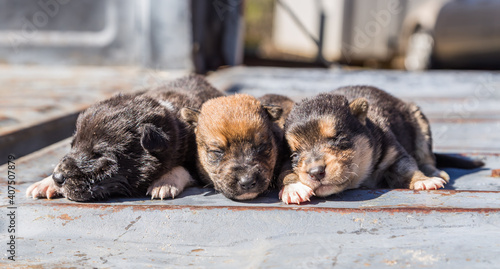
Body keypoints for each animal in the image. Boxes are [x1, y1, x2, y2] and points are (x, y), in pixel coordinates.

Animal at [26, 74, 223, 200]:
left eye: (98, 155)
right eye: (73, 145)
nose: (58, 178)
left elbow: (183, 168)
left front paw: (164, 183)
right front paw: (46, 183)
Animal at [280, 86, 482, 203]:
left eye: (338, 138)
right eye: (294, 155)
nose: (315, 172)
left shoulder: (395, 153)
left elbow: (407, 169)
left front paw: (423, 181)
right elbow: (286, 172)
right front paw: (293, 188)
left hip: (419, 123)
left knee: (427, 158)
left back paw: (434, 172)